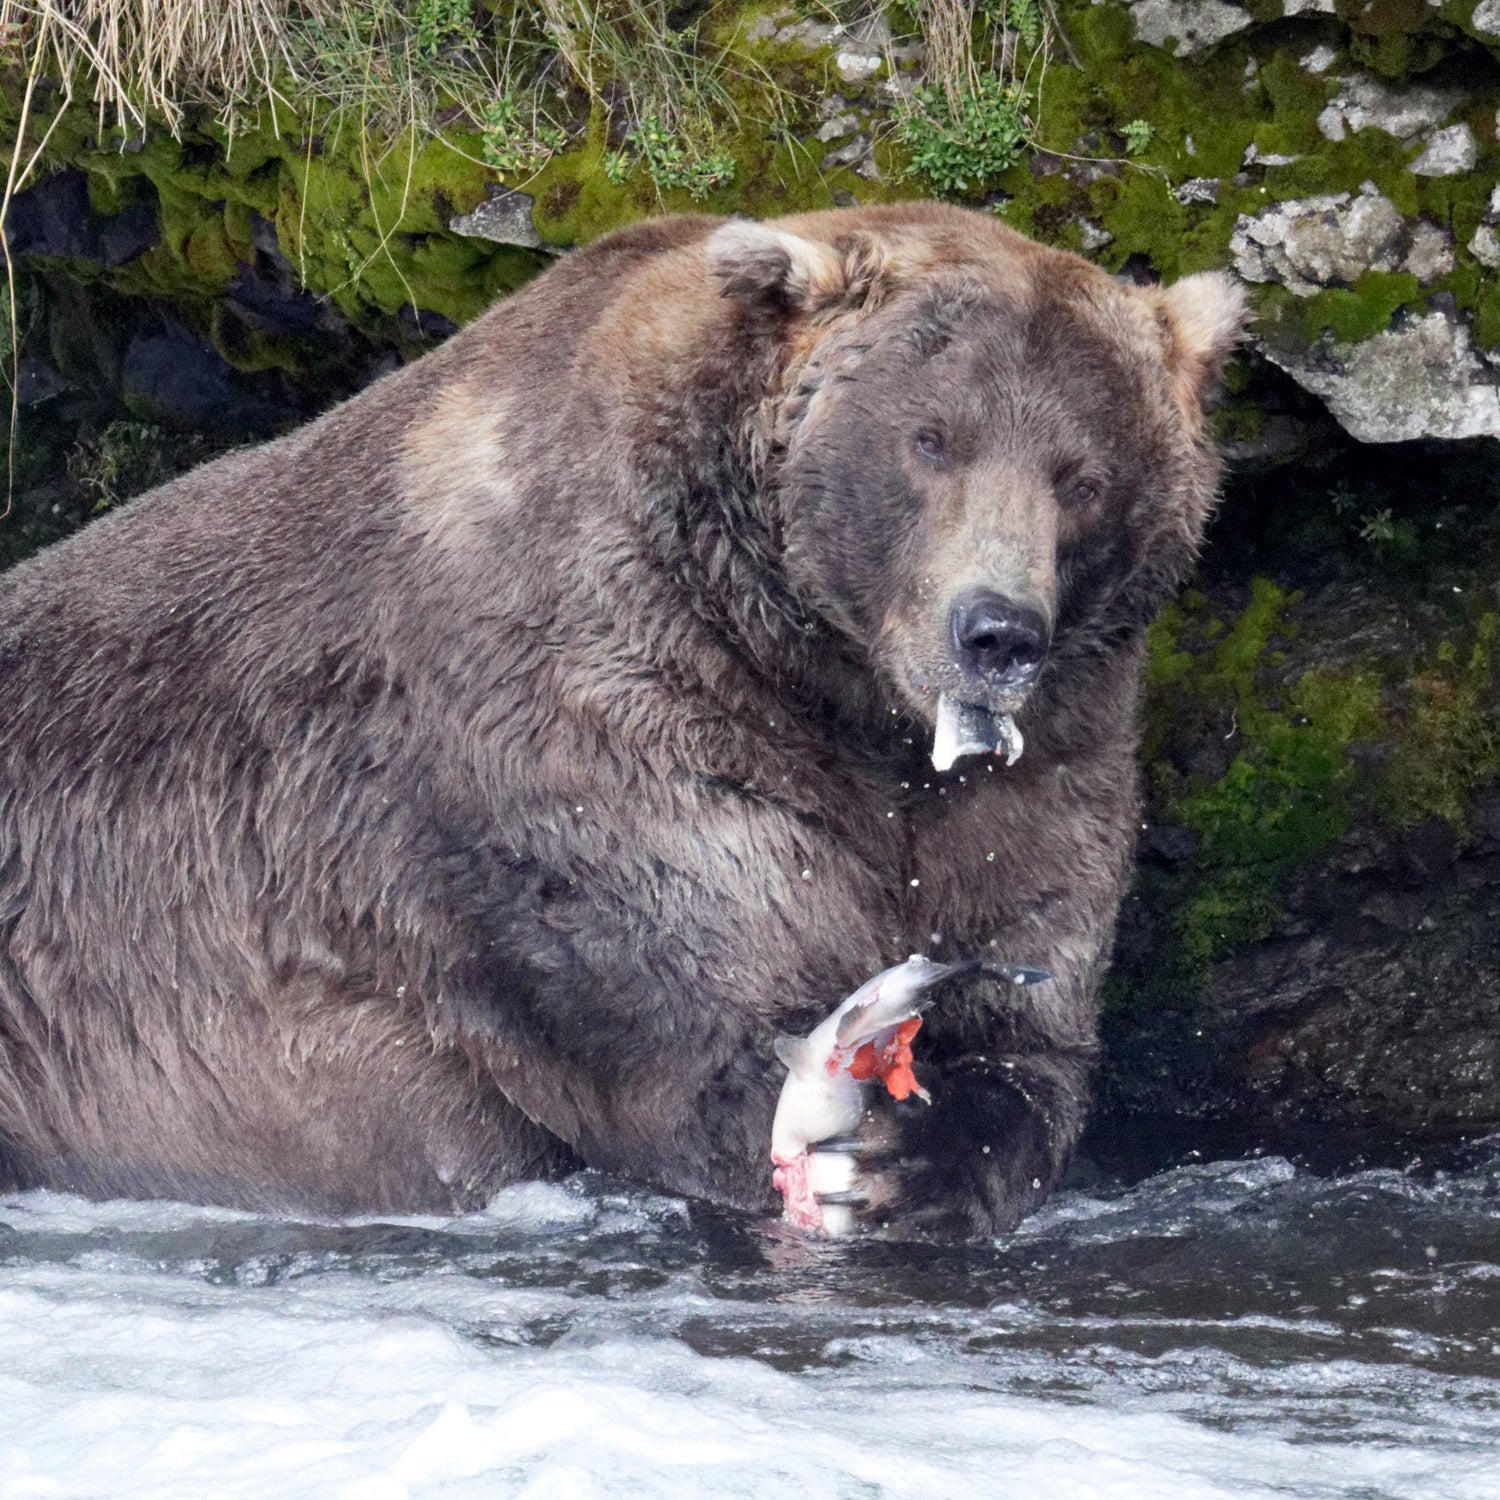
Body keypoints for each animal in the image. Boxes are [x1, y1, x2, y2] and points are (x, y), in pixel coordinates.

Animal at [0, 202, 1242, 1230]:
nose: (996, 632)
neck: (831, 686)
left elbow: (1028, 1005)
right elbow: (691, 1009)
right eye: (930, 438)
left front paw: (919, 1156)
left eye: (1081, 474)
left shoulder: (1042, 764)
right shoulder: (582, 719)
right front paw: (854, 1138)